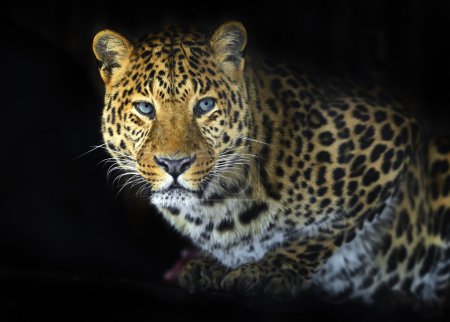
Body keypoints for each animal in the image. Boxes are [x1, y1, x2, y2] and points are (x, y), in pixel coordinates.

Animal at [91, 21, 450, 308]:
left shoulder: (393, 132)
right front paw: (217, 265)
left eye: (205, 105)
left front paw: (270, 269)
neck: (217, 205)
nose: (174, 163)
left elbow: (323, 234)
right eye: (145, 108)